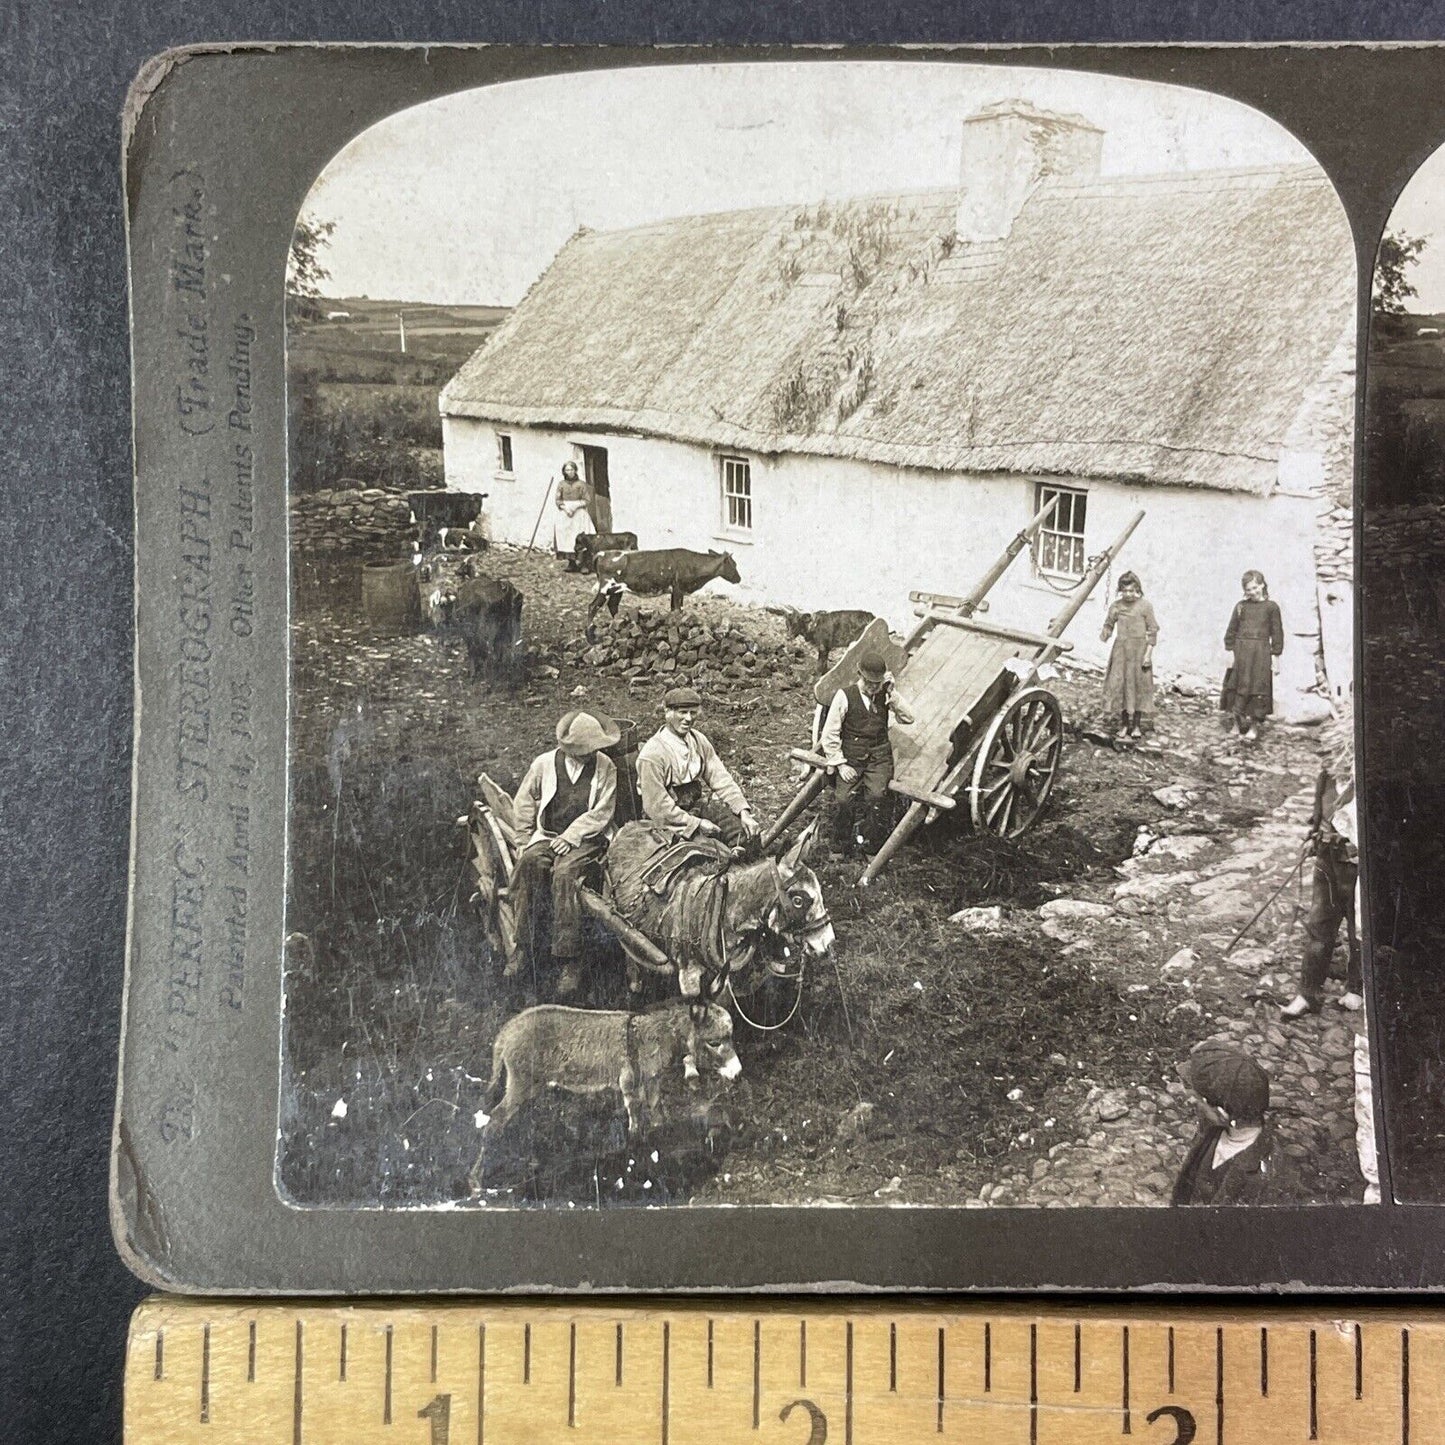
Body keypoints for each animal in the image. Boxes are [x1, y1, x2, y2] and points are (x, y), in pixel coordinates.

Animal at [586, 543, 745, 635]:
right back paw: (590, 635)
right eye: (734, 565)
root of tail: (602, 553)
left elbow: (674, 610)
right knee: (593, 606)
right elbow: (678, 610)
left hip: (617, 590)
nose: (739, 579)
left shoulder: (675, 591)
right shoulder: (678, 589)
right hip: (606, 587)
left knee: (613, 605)